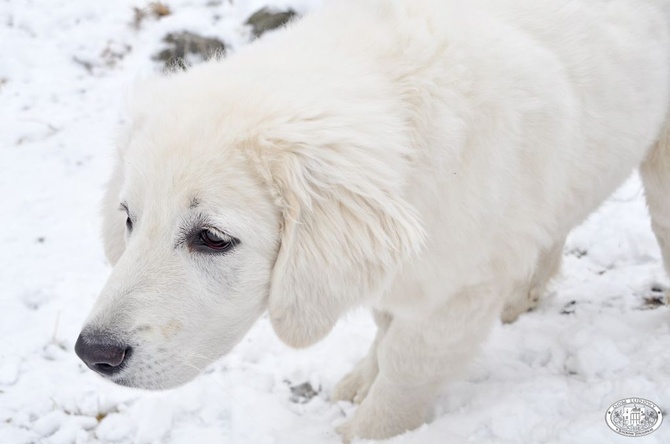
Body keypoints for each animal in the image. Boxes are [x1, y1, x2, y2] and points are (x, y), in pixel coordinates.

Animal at [73, 0, 670, 440]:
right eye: (129, 220)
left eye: (213, 238)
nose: (93, 354)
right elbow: (385, 329)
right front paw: (361, 379)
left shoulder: (455, 293)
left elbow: (406, 367)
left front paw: (366, 425)